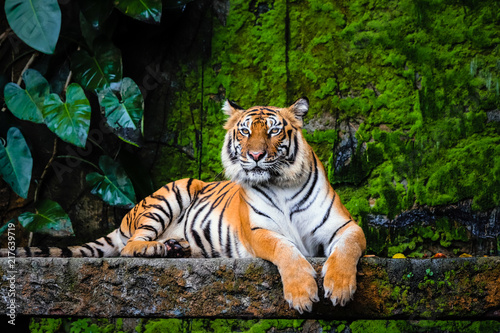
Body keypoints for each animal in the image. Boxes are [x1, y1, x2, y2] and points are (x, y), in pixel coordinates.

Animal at [2, 97, 368, 312]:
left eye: (274, 131)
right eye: (245, 131)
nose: (255, 156)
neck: (281, 183)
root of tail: (126, 216)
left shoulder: (345, 226)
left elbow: (347, 249)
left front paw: (339, 287)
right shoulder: (259, 231)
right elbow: (287, 251)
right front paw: (303, 293)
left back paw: (179, 247)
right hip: (171, 194)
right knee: (131, 247)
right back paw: (161, 248)